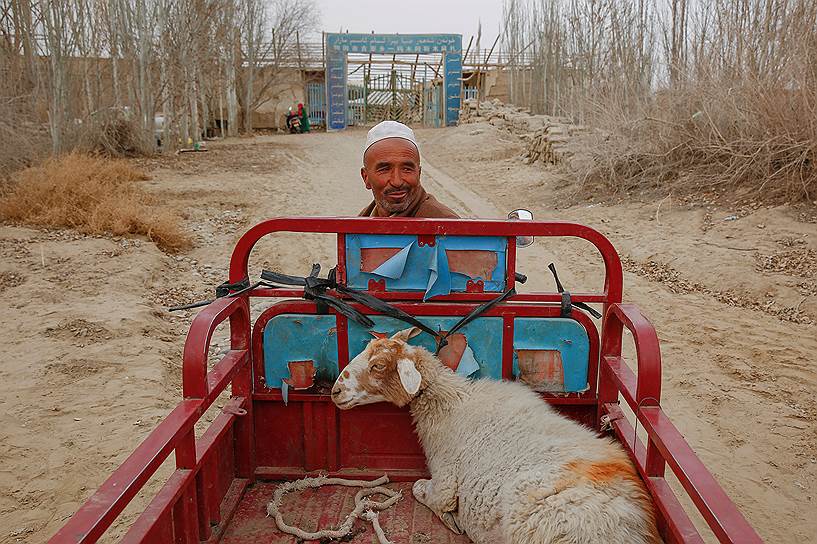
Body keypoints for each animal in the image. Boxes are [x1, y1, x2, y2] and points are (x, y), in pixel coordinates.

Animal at [330, 328, 656, 544]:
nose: (335, 391)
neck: (452, 403)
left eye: (378, 366)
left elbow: (421, 490)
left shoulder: (445, 482)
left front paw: (452, 520)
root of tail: (634, 529)